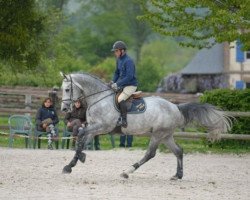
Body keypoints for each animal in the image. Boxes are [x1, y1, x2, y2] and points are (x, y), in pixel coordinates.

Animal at [60, 72, 232, 180]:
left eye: (67, 89)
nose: (64, 109)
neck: (99, 99)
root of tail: (176, 107)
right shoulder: (94, 128)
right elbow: (82, 139)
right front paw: (73, 163)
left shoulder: (102, 127)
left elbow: (80, 135)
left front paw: (76, 161)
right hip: (166, 135)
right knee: (178, 151)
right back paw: (177, 175)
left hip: (157, 134)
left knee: (150, 154)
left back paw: (127, 171)